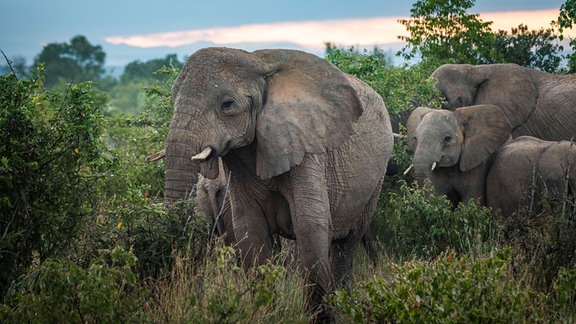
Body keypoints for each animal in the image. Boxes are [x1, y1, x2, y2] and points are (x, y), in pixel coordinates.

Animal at [164, 46, 394, 322]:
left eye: (227, 105)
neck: (257, 62)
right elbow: (249, 232)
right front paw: (267, 311)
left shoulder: (306, 148)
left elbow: (310, 226)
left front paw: (321, 317)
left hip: (375, 179)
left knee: (347, 244)